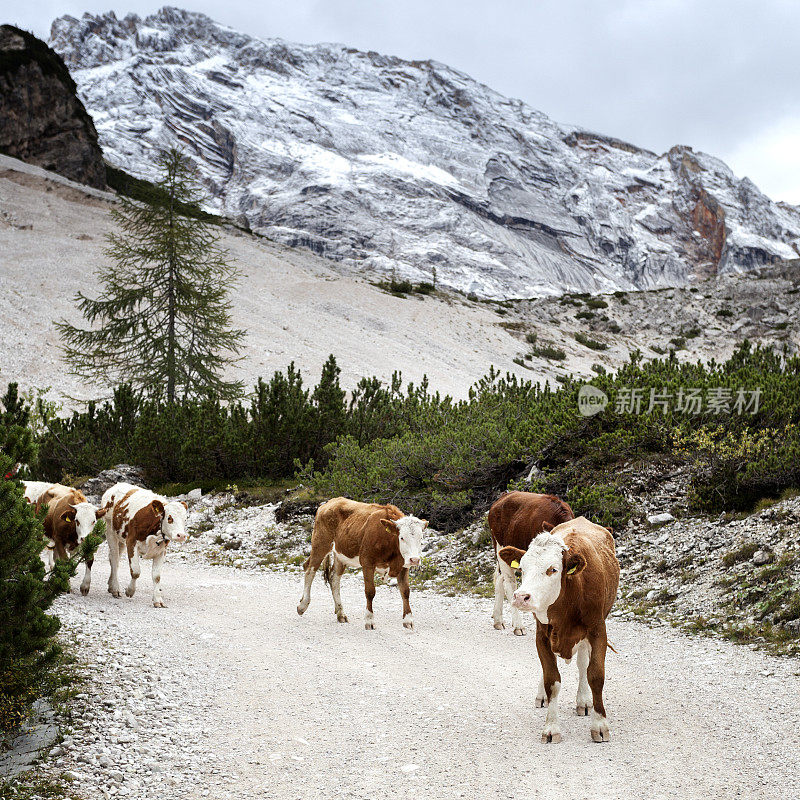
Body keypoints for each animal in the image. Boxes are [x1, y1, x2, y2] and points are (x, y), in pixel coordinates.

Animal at [296, 496, 428, 628]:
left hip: (340, 555)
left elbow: (405, 591)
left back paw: (341, 614)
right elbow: (370, 592)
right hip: (321, 543)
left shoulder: (403, 565)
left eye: (421, 538)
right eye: (402, 537)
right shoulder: (367, 562)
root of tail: (330, 502)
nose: (414, 559)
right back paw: (302, 606)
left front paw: (408, 620)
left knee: (334, 578)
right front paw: (369, 620)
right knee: (309, 570)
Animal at [488, 490, 576, 636]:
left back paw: (498, 620)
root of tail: (503, 497)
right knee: (509, 583)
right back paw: (518, 625)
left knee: (500, 579)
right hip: (501, 547)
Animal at [500, 516, 620, 748]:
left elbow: (595, 675)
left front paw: (600, 725)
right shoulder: (542, 635)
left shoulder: (598, 631)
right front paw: (551, 727)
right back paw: (543, 697)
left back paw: (583, 700)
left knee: (583, 663)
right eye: (522, 569)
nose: (521, 596)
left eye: (552, 569)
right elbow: (552, 679)